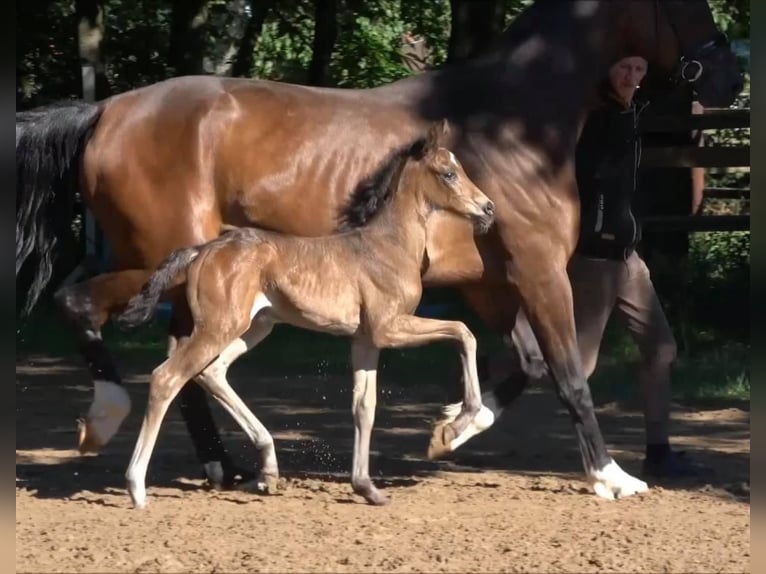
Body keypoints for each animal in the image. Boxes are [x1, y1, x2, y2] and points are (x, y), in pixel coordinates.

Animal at [114, 120, 496, 508]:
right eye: (449, 173)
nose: (488, 209)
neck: (388, 245)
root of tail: (201, 250)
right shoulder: (390, 328)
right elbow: (463, 332)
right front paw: (454, 426)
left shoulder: (366, 340)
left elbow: (364, 407)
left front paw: (367, 487)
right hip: (219, 327)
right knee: (167, 377)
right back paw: (137, 487)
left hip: (255, 327)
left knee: (212, 372)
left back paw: (269, 470)